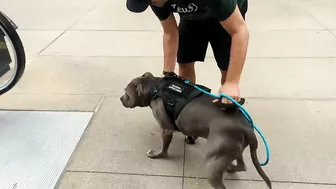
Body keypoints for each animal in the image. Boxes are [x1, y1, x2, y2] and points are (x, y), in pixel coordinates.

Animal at [119, 71, 272, 188]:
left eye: (126, 93)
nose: (120, 98)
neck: (154, 87)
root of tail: (246, 127)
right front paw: (191, 139)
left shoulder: (167, 129)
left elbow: (164, 148)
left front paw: (157, 155)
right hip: (233, 148)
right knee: (241, 165)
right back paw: (230, 167)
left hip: (213, 162)